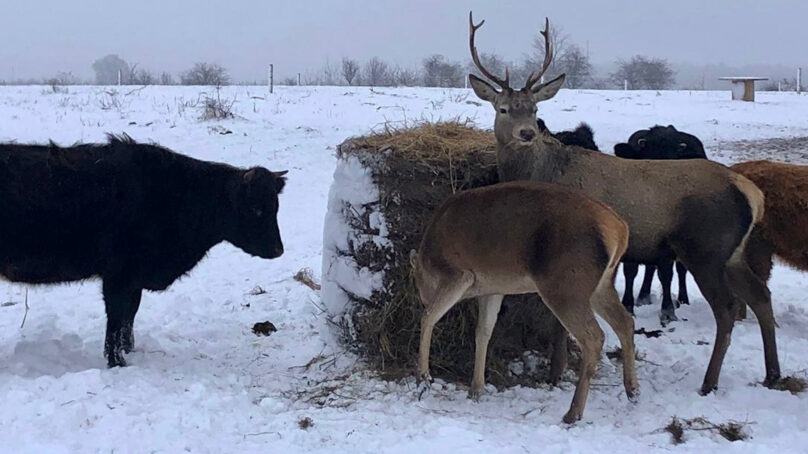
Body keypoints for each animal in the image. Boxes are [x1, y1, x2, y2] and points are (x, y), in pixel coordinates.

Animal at [0, 134, 288, 366]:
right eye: (255, 208)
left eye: (275, 207)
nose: (278, 250)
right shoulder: (118, 276)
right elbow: (116, 319)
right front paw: (117, 362)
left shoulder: (134, 279)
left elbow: (130, 316)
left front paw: (130, 350)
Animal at [416, 180, 636, 422]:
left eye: (419, 288)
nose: (423, 298)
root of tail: (620, 231)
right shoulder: (493, 288)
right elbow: (483, 331)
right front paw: (476, 388)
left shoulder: (459, 274)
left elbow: (428, 318)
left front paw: (423, 378)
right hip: (602, 283)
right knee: (625, 321)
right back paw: (632, 390)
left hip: (565, 284)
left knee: (594, 336)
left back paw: (573, 412)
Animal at [616, 124, 704, 322]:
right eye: (649, 157)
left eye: (673, 161)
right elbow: (631, 270)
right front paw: (628, 305)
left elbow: (666, 273)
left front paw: (668, 311)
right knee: (649, 268)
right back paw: (643, 296)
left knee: (680, 269)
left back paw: (683, 299)